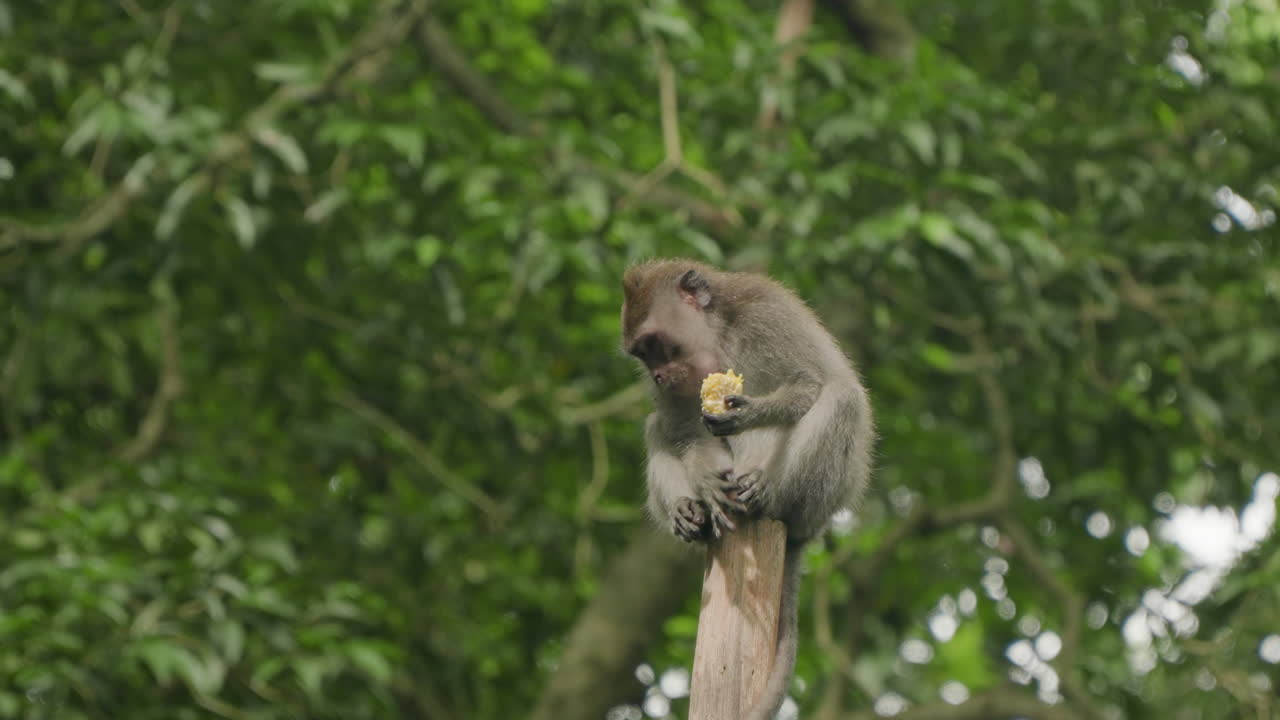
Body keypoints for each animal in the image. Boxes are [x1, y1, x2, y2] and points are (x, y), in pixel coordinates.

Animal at [621, 258, 874, 720]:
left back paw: (766, 496)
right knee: (656, 427)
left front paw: (748, 412)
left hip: (818, 495)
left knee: (842, 397)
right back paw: (692, 514)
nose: (659, 376)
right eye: (642, 356)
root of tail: (807, 530)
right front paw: (702, 487)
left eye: (655, 344)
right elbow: (683, 429)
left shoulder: (765, 319)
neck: (718, 335)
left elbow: (808, 383)